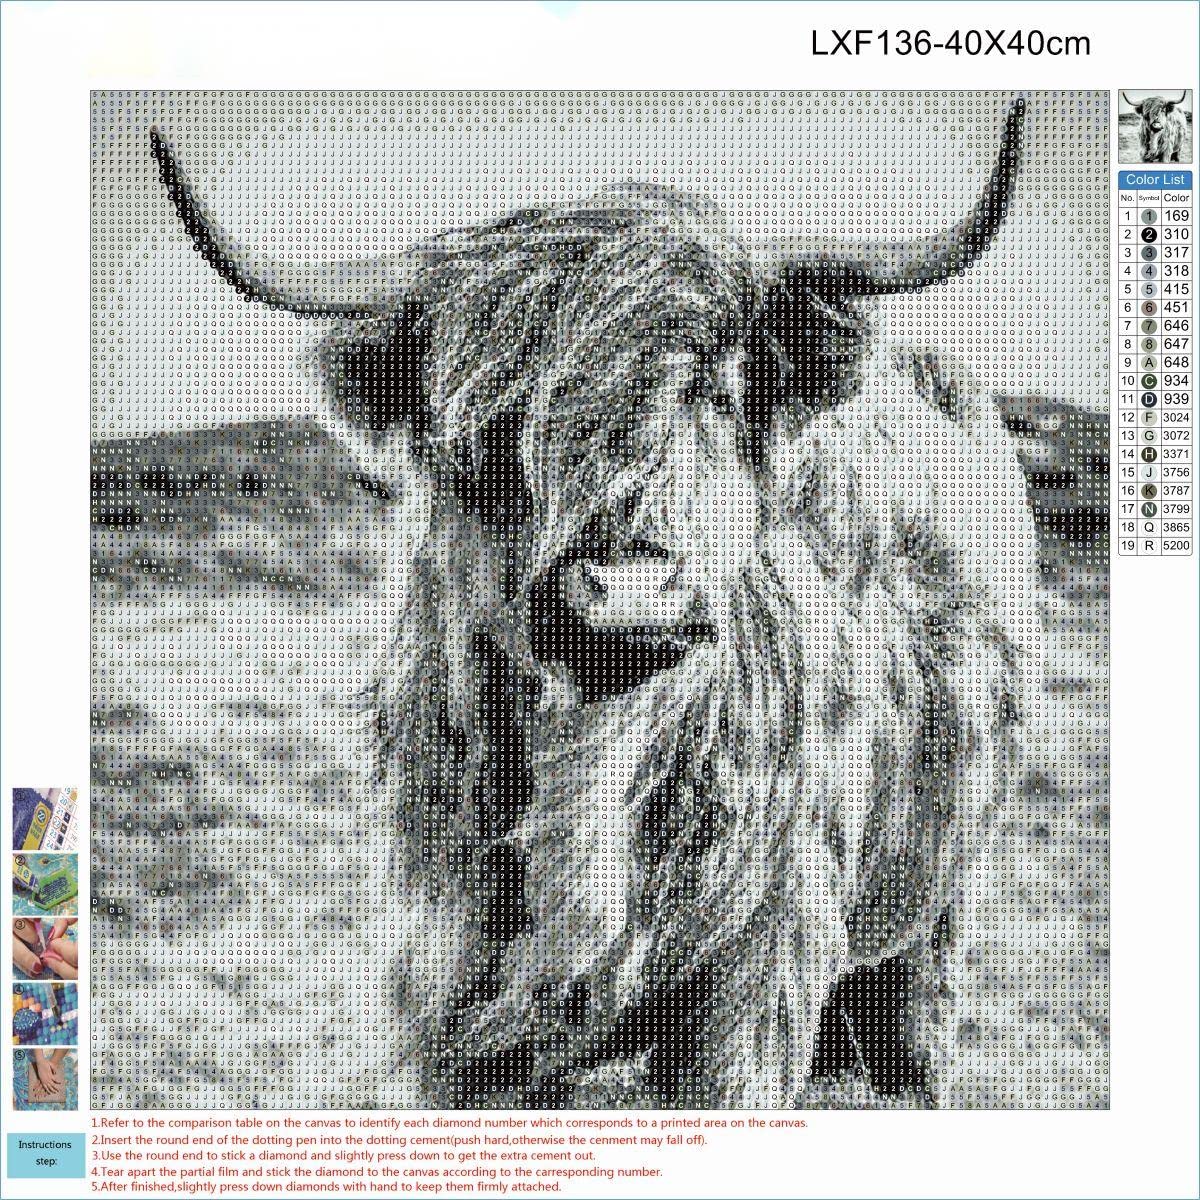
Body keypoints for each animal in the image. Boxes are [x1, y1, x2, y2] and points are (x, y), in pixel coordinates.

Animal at [149, 97, 1040, 1109]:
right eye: (488, 427)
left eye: (717, 392)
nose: (630, 595)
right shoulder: (453, 1001)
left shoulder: (757, 978)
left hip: (940, 910)